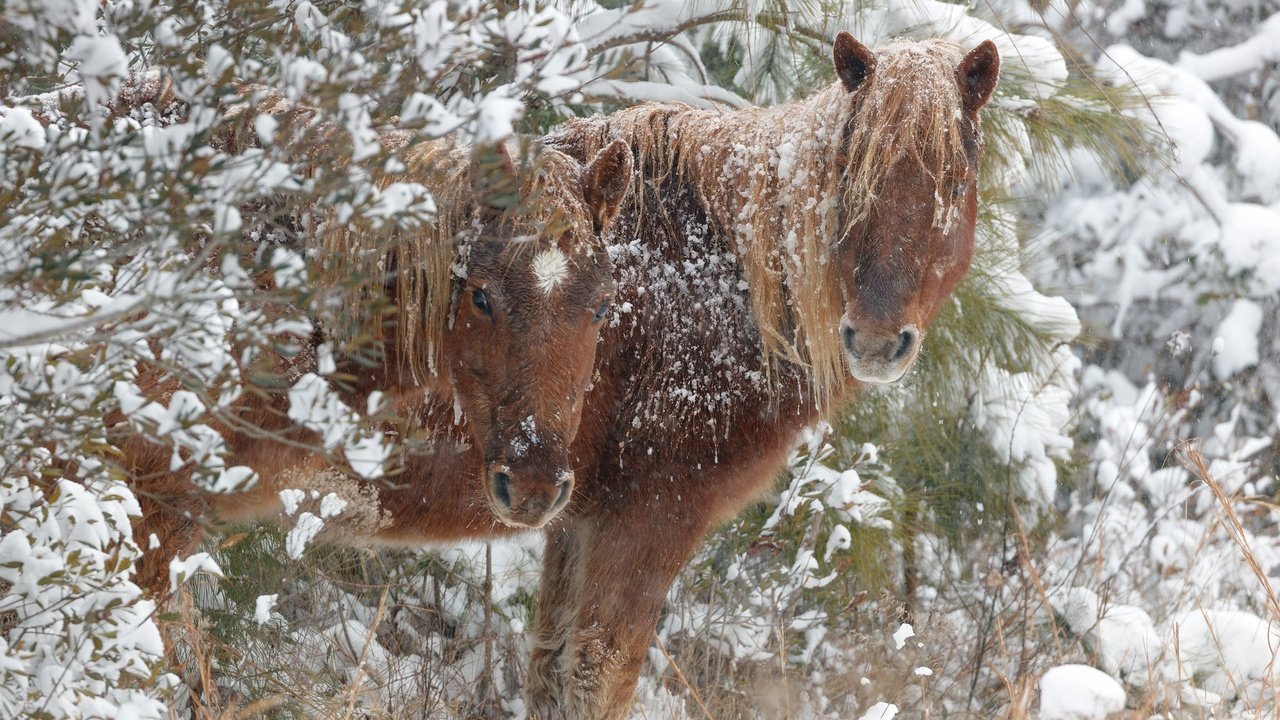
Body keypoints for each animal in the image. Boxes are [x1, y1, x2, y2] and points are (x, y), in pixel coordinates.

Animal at [522, 32, 998, 712]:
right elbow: (595, 676)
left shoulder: (574, 519)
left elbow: (547, 668)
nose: (876, 341)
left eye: (954, 188)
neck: (712, 281)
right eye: (849, 180)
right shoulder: (645, 517)